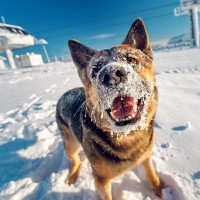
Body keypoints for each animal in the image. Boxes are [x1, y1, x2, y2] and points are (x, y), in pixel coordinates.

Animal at [55, 18, 162, 199]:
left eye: (132, 60)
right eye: (95, 69)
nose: (111, 74)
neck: (127, 136)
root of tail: (64, 94)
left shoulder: (146, 159)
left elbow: (154, 178)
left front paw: (161, 192)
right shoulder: (101, 181)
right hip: (70, 144)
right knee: (75, 160)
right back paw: (72, 177)